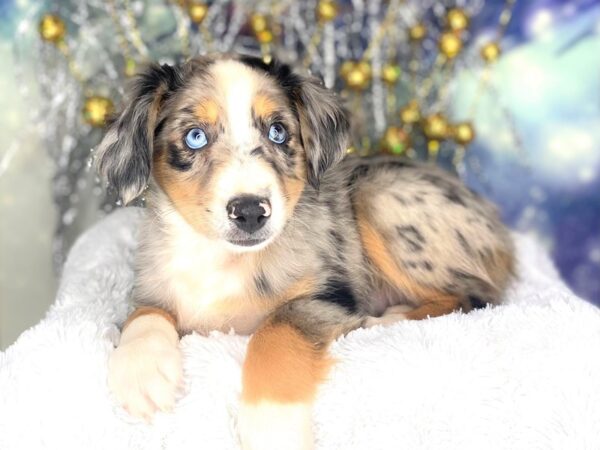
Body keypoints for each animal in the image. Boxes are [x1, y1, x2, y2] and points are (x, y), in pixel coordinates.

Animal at [95, 54, 516, 448]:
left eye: (278, 131)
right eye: (195, 137)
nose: (250, 211)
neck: (222, 258)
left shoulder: (327, 296)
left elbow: (275, 331)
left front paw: (272, 427)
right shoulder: (155, 286)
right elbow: (144, 315)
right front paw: (142, 373)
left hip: (378, 195)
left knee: (473, 293)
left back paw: (389, 318)